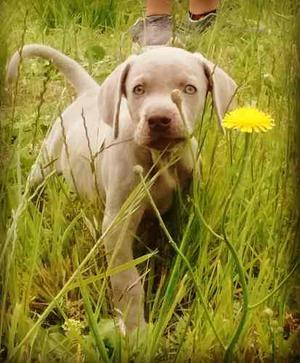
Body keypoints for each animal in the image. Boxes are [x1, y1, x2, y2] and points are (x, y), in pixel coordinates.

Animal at [6, 44, 237, 334]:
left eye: (189, 88)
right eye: (138, 89)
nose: (158, 119)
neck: (160, 157)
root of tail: (89, 92)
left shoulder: (185, 208)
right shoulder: (118, 223)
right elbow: (127, 280)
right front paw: (135, 330)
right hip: (45, 163)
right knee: (30, 193)